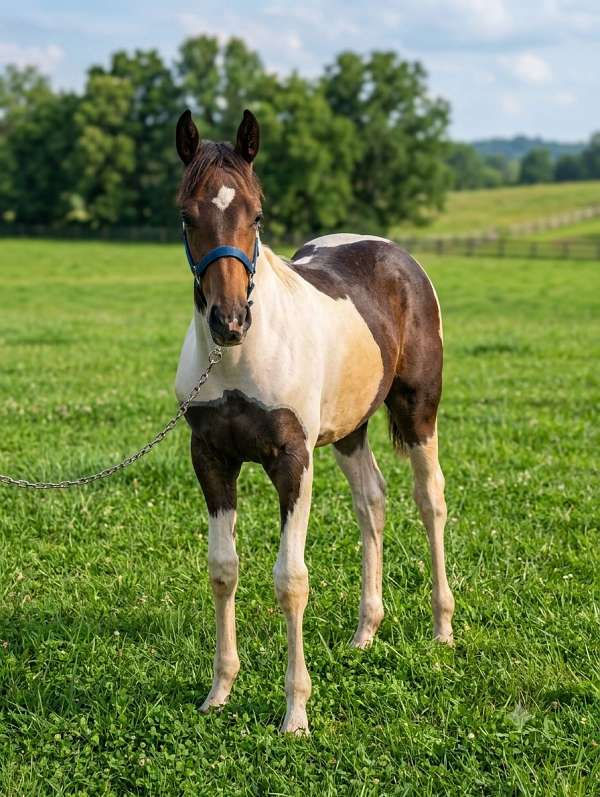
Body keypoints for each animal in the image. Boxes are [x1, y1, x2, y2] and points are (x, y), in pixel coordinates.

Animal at [174, 108, 455, 735]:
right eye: (186, 214)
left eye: (256, 213)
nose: (230, 321)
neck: (237, 362)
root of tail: (394, 253)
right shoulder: (211, 459)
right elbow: (223, 568)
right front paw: (219, 692)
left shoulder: (292, 461)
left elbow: (291, 580)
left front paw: (296, 713)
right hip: (350, 430)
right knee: (371, 501)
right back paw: (365, 631)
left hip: (418, 411)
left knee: (430, 500)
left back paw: (443, 628)